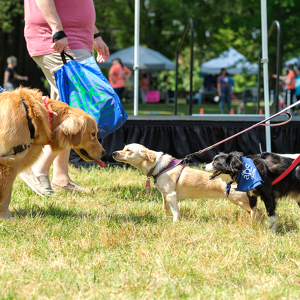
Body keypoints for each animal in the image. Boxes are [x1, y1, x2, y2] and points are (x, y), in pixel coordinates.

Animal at [112, 143, 262, 223]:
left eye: (128, 150)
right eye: (124, 148)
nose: (113, 152)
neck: (159, 166)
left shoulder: (171, 195)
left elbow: (175, 212)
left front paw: (175, 222)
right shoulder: (165, 195)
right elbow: (165, 208)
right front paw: (166, 217)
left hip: (241, 201)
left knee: (258, 212)